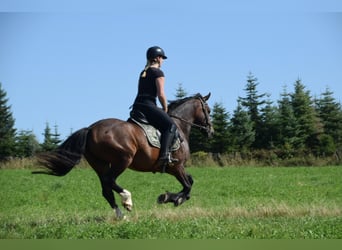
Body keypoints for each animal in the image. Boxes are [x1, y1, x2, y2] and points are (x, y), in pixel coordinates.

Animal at [34, 93, 212, 218]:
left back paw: (120, 215)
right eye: (208, 111)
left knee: (106, 188)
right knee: (110, 180)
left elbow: (190, 182)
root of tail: (90, 129)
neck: (179, 126)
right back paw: (127, 200)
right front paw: (171, 198)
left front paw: (172, 198)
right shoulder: (176, 166)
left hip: (99, 163)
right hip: (123, 159)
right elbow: (188, 185)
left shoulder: (174, 168)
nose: (211, 130)